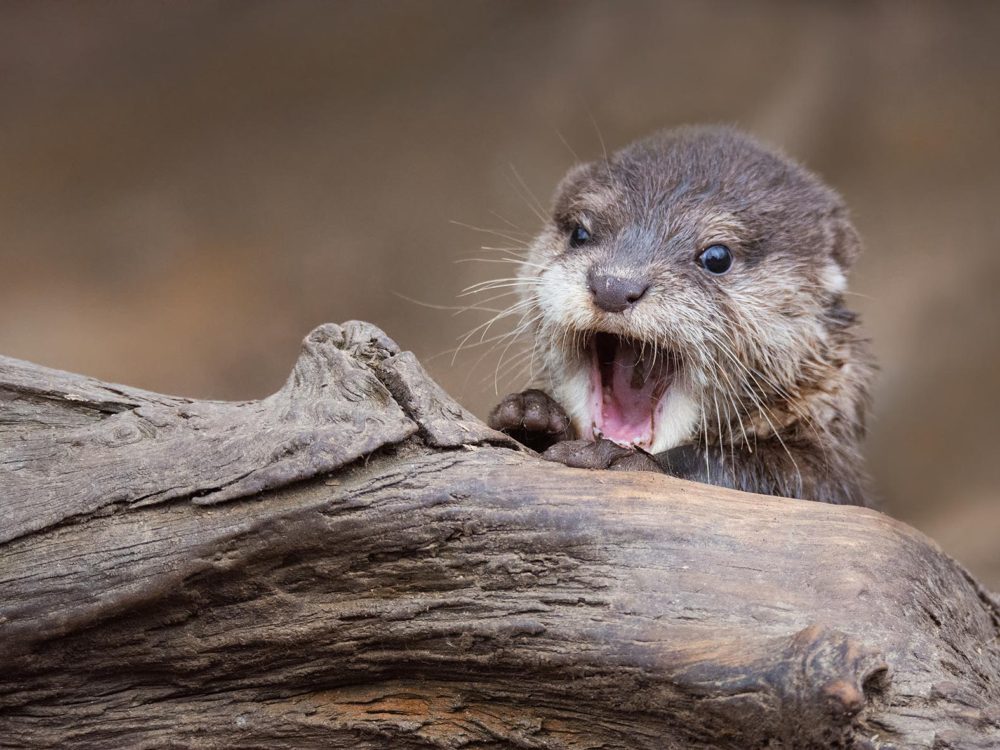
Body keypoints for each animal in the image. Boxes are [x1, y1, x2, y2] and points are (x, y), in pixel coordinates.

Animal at [487, 125, 875, 507]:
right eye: (580, 234)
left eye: (717, 257)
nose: (613, 285)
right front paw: (532, 413)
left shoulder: (829, 474)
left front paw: (617, 458)